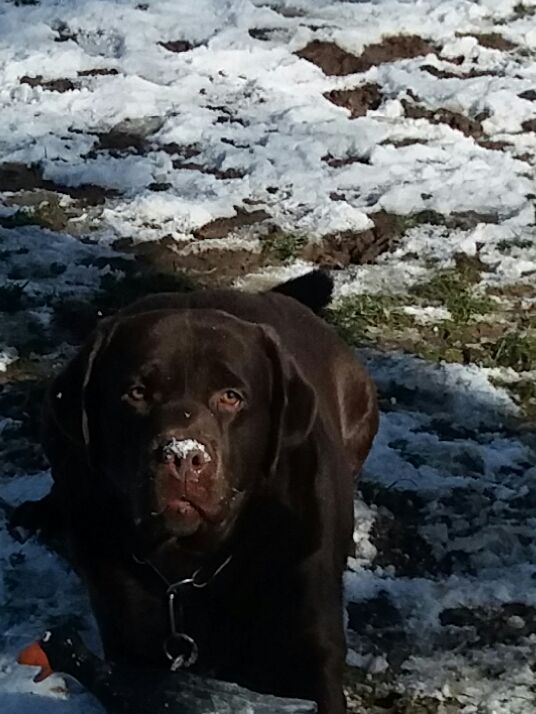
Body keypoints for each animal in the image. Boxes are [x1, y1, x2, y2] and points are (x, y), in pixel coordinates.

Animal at [14, 268, 378, 712]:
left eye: (231, 397)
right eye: (136, 392)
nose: (184, 456)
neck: (191, 572)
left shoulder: (310, 641)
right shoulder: (130, 645)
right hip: (54, 425)